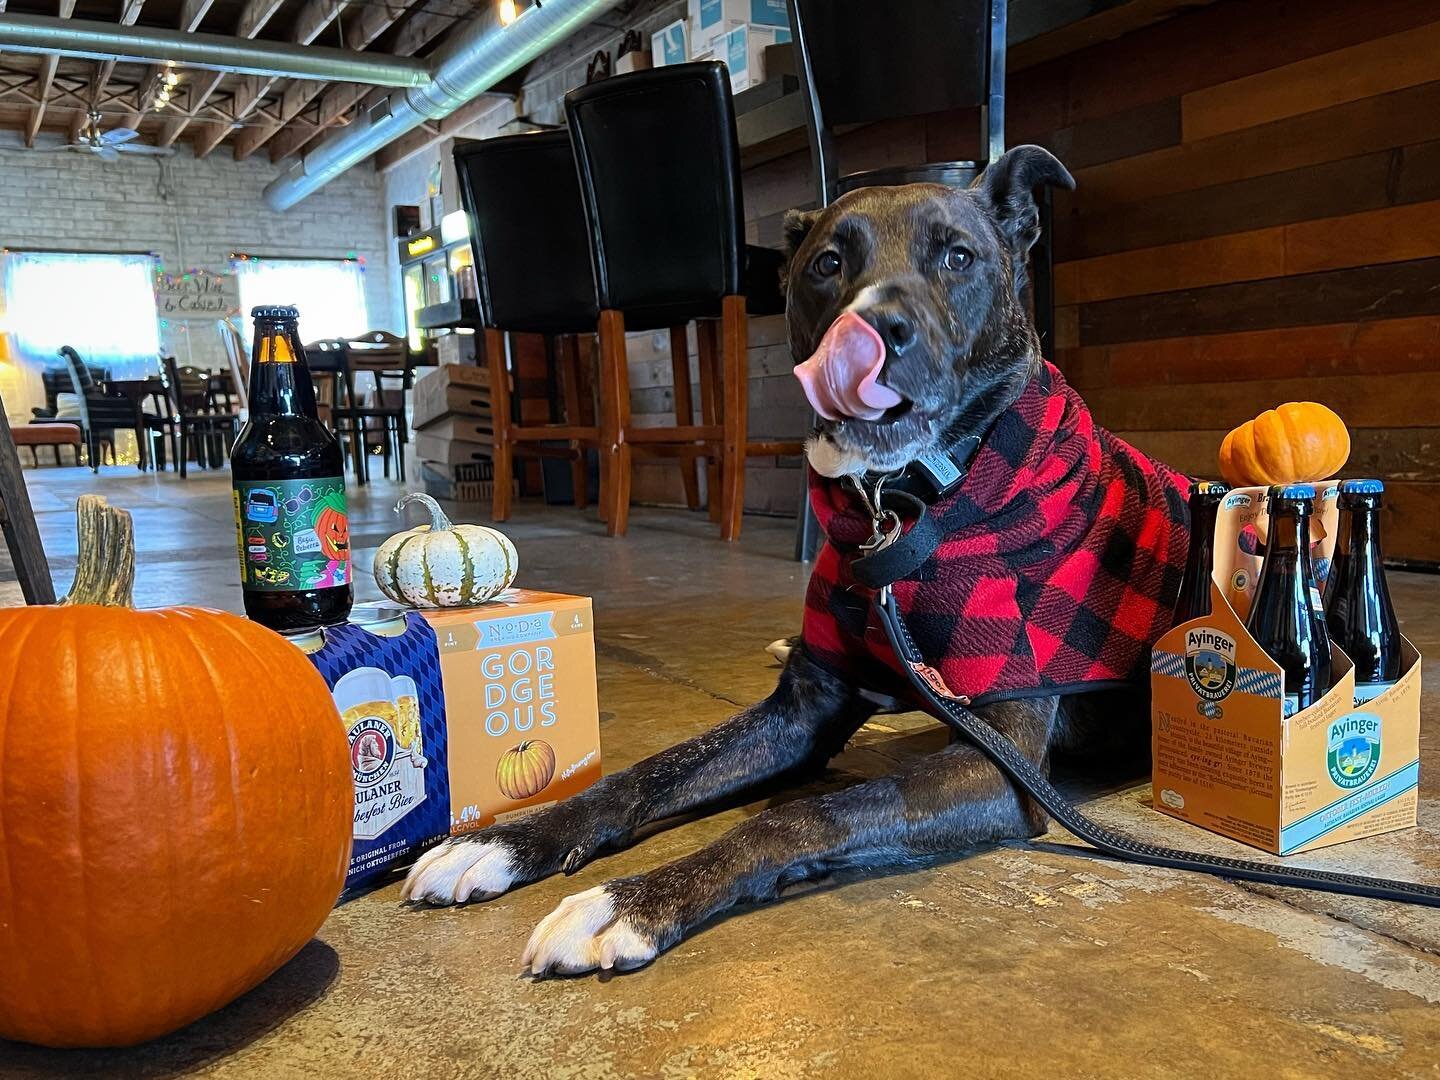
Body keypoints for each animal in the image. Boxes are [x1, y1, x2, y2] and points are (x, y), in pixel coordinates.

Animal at [400, 146, 1140, 979]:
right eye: (827, 264)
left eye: (958, 257)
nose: (874, 329)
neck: (899, 510)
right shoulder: (801, 712)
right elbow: (650, 770)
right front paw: (507, 840)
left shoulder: (1003, 765)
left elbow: (809, 814)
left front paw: (629, 902)